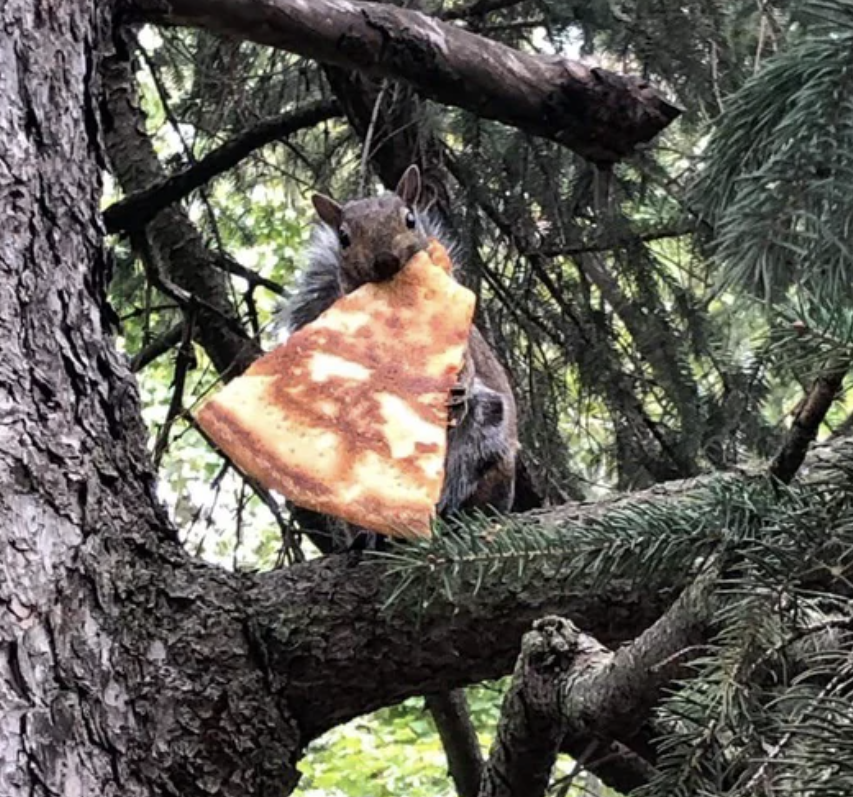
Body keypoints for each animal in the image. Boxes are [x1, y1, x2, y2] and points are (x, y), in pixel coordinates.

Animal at [277, 165, 519, 549]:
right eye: (343, 237)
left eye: (410, 219)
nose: (385, 260)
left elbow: (465, 366)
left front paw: (458, 388)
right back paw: (369, 536)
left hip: (489, 440)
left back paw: (462, 516)